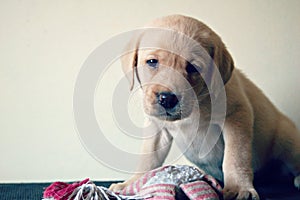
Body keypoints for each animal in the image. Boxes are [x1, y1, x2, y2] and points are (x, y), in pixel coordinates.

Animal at [109, 14, 300, 199]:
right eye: (152, 61)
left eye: (193, 67)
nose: (167, 99)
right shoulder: (157, 127)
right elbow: (148, 158)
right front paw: (132, 182)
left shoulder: (237, 116)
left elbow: (235, 156)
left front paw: (238, 187)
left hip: (287, 141)